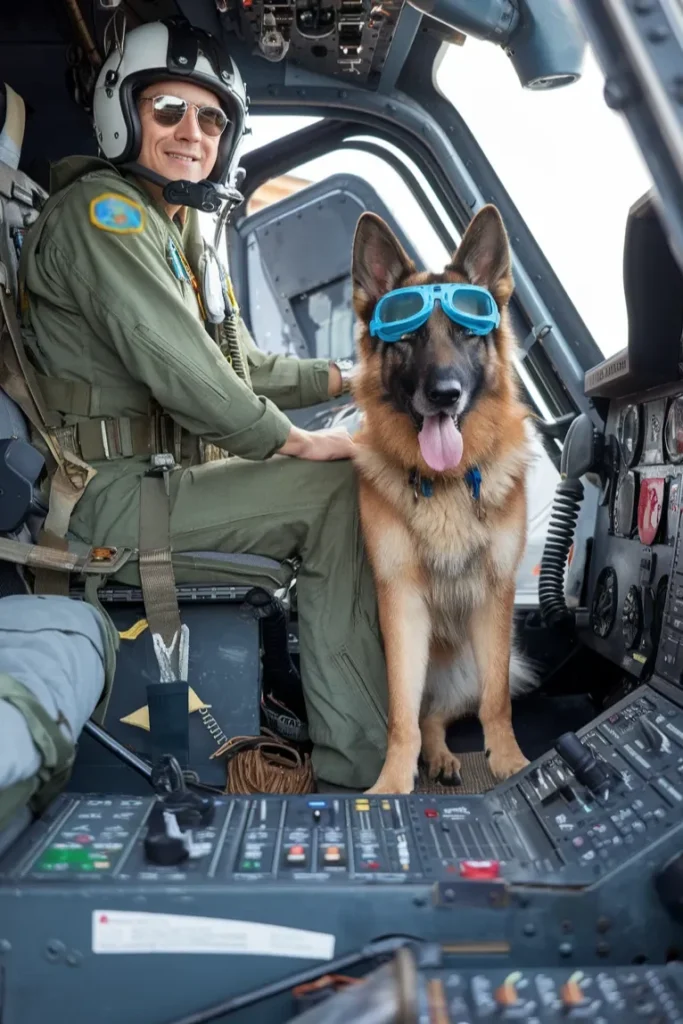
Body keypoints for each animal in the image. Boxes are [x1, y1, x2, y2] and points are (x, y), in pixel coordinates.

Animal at [352, 201, 532, 790]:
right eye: (407, 338)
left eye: (465, 332)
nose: (444, 395)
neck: (449, 483)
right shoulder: (401, 604)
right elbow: (402, 714)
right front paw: (392, 781)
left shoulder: (495, 599)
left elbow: (498, 702)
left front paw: (510, 762)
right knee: (425, 712)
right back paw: (435, 757)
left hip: (474, 665)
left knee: (445, 711)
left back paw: (446, 756)